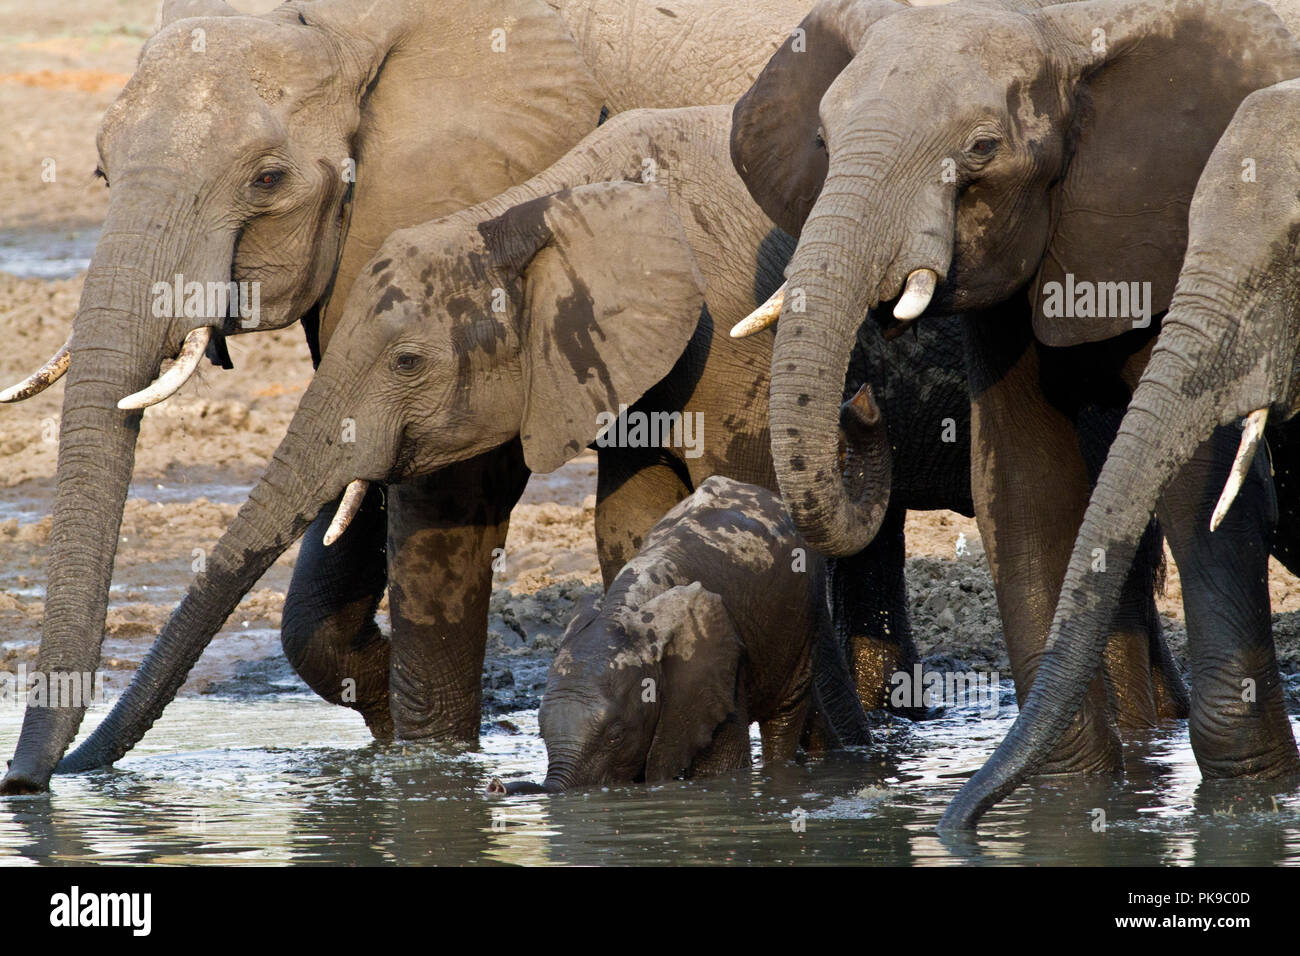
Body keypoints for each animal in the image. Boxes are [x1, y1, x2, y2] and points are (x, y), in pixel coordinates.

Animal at [0, 0, 811, 796]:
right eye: (101, 170)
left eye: (267, 180)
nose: (28, 782)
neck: (348, 27)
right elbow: (361, 489)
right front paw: (402, 730)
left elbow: (445, 494)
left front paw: (431, 763)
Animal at [496, 476, 873, 796]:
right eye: (541, 730)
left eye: (616, 736)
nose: (496, 787)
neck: (624, 613)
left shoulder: (713, 672)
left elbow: (720, 768)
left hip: (804, 610)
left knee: (784, 715)